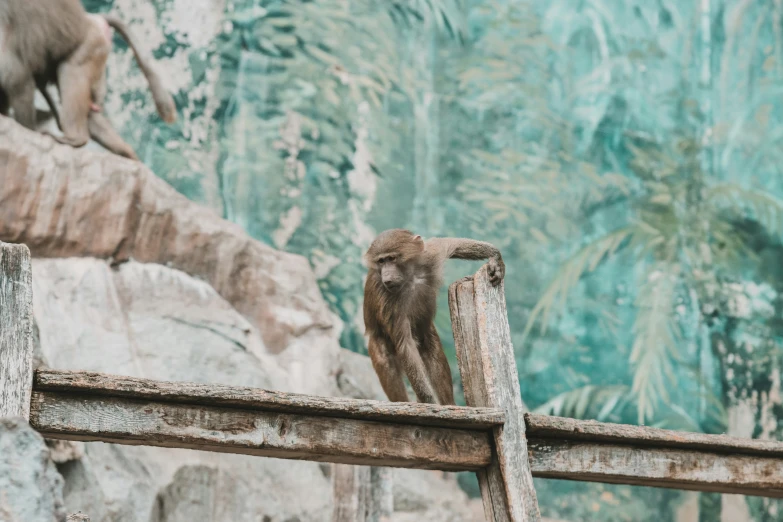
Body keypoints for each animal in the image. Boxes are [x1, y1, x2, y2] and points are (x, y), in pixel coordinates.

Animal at [0, 0, 175, 158]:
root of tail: (92, 19)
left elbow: (19, 83)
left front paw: (28, 129)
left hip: (90, 46)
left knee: (71, 73)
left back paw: (76, 139)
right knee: (90, 112)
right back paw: (126, 152)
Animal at [362, 228, 506, 402]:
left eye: (391, 258)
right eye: (381, 261)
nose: (387, 277)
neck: (411, 277)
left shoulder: (429, 256)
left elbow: (450, 243)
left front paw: (495, 257)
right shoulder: (387, 297)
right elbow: (405, 345)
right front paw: (429, 401)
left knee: (433, 350)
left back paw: (448, 402)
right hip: (377, 341)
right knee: (386, 361)